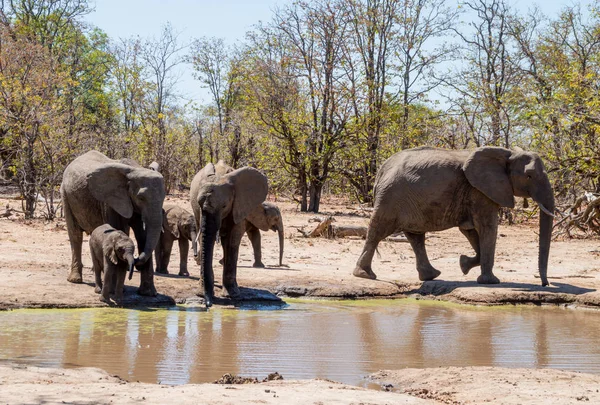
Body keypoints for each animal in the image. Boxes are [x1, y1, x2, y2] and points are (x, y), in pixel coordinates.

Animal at [61, 150, 165, 296]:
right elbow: (117, 228)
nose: (136, 260)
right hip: (66, 195)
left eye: (164, 197)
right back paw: (75, 280)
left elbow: (143, 237)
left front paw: (148, 294)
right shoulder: (110, 201)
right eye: (141, 198)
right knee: (75, 235)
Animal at [191, 161, 268, 306]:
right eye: (199, 203)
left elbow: (233, 240)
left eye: (224, 206)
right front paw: (202, 294)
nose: (208, 304)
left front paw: (233, 295)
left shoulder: (240, 205)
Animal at [354, 147, 556, 286]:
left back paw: (431, 276)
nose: (544, 284)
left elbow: (470, 230)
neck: (507, 153)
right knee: (377, 231)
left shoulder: (475, 193)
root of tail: (381, 170)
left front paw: (464, 264)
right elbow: (487, 227)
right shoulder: (480, 191)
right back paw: (364, 275)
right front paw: (490, 281)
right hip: (390, 198)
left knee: (415, 236)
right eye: (529, 176)